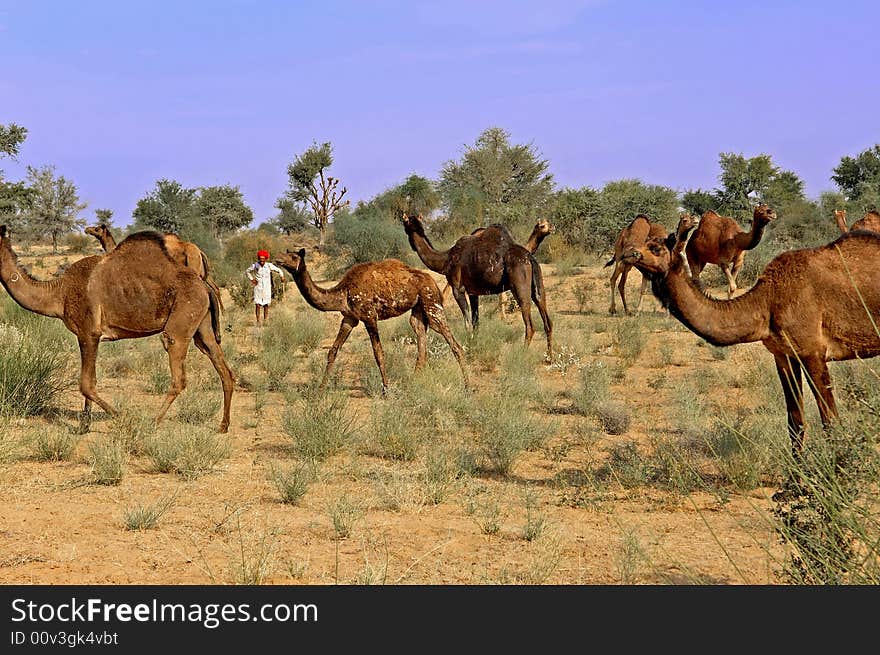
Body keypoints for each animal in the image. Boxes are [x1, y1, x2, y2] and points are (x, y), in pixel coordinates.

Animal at [84, 223, 223, 310]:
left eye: (96, 228)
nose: (86, 229)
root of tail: (199, 251)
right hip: (202, 270)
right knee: (215, 287)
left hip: (194, 266)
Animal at [274, 249, 468, 392]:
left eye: (293, 256)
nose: (277, 258)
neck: (342, 293)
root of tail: (433, 282)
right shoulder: (349, 318)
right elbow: (333, 351)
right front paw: (320, 390)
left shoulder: (369, 316)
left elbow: (378, 353)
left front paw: (386, 390)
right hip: (418, 310)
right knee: (421, 344)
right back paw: (413, 383)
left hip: (431, 303)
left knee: (455, 345)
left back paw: (467, 387)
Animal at [404, 214, 552, 358]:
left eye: (407, 221)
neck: (446, 260)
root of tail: (530, 258)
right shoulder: (473, 292)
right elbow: (475, 322)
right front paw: (474, 347)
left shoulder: (458, 289)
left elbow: (467, 323)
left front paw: (469, 350)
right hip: (538, 286)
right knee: (547, 319)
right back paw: (550, 356)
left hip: (520, 287)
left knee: (530, 325)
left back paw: (521, 354)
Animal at [624, 215, 880, 456]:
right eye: (645, 242)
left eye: (656, 248)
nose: (628, 252)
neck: (768, 300)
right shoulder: (783, 355)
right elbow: (795, 422)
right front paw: (794, 475)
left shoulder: (813, 352)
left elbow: (831, 423)